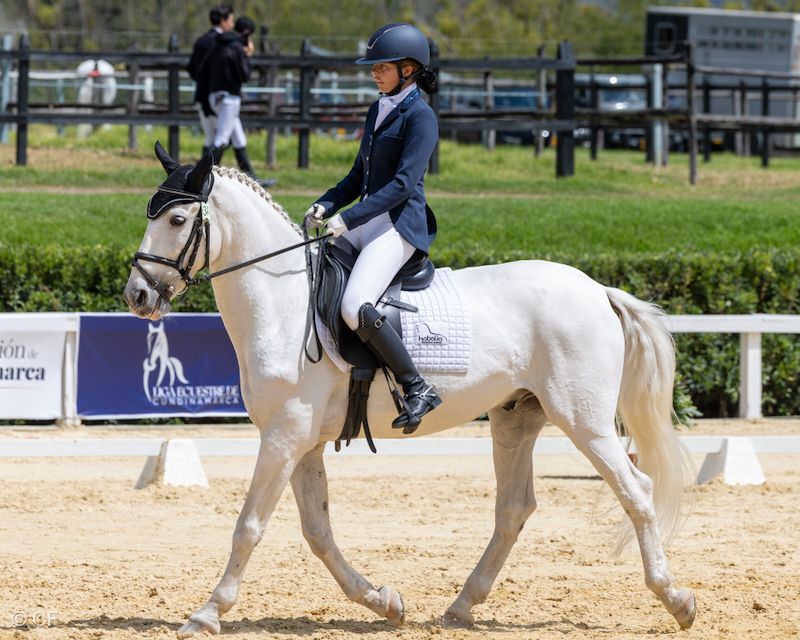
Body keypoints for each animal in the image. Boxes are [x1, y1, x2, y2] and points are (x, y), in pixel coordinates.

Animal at [123, 151, 697, 637]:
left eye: (177, 221)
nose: (138, 295)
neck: (283, 304)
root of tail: (598, 289)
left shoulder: (284, 437)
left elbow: (249, 526)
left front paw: (206, 614)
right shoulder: (302, 442)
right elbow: (318, 532)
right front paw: (384, 601)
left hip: (583, 419)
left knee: (636, 490)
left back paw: (677, 600)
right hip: (516, 417)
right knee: (514, 508)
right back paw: (461, 606)